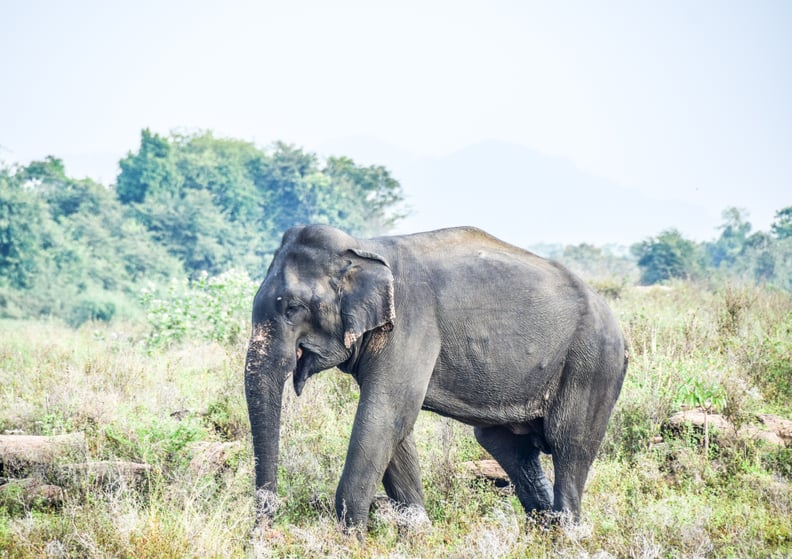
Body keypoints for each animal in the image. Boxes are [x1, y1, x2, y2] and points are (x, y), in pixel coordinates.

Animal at [244, 224, 628, 532]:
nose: (265, 531)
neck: (363, 246)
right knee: (509, 447)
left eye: (292, 308)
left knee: (570, 445)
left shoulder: (411, 324)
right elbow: (394, 426)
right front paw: (418, 533)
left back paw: (570, 535)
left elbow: (385, 415)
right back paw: (546, 532)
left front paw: (351, 539)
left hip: (592, 363)